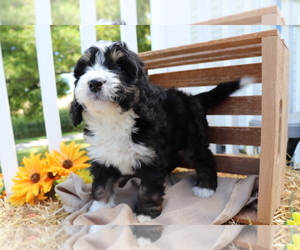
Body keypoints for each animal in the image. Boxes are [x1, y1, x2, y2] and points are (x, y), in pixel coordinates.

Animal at [69, 41, 253, 223]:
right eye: (86, 69)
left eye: (120, 68)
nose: (94, 83)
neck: (113, 119)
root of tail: (192, 98)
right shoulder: (102, 158)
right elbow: (101, 185)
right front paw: (99, 209)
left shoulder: (151, 158)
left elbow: (148, 189)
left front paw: (145, 213)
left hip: (194, 138)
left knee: (204, 159)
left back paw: (205, 187)